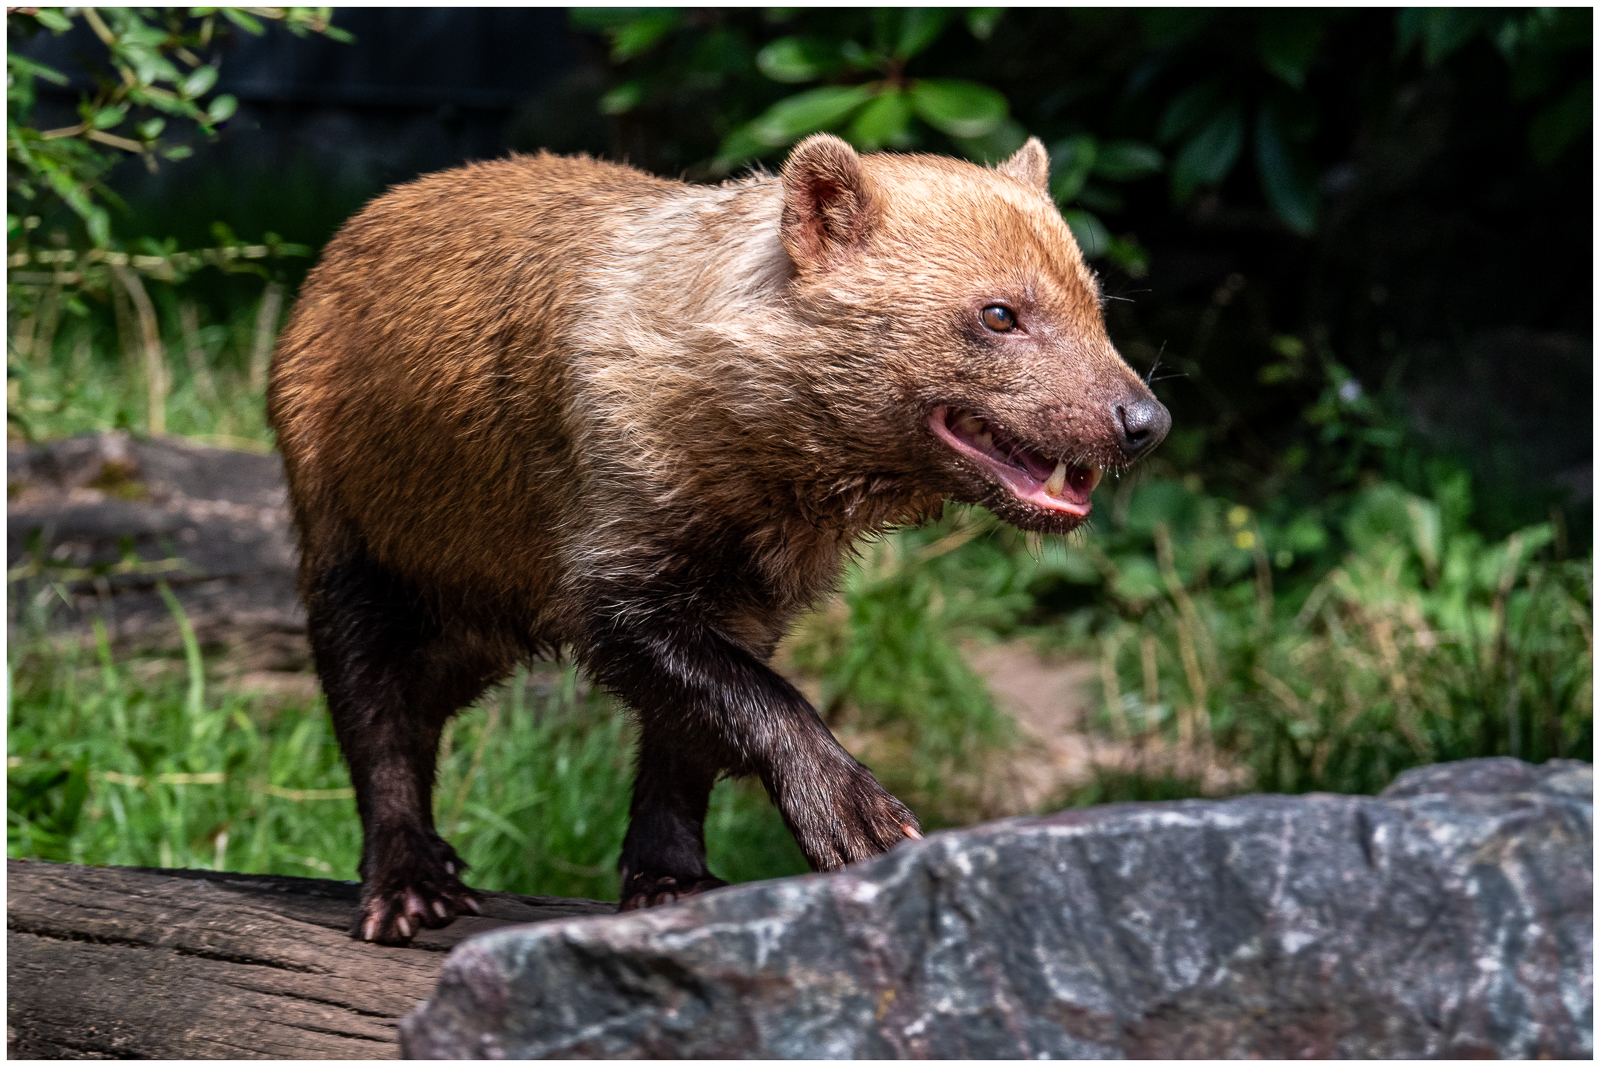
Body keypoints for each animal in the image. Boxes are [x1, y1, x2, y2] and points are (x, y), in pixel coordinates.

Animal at [268, 131, 1171, 940]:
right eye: (999, 312)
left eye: (1094, 303)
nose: (1143, 420)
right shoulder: (614, 545)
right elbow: (734, 689)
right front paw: (858, 817)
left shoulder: (747, 593)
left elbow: (691, 729)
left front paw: (672, 876)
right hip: (355, 527)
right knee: (374, 699)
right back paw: (408, 880)